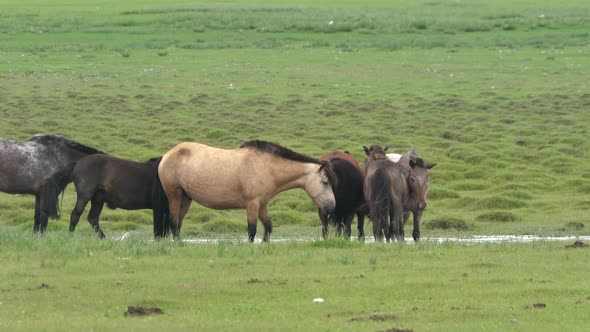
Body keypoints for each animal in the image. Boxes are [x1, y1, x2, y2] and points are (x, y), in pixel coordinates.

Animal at [153, 139, 338, 241]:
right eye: (325, 182)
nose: (331, 206)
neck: (267, 167)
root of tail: (168, 154)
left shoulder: (262, 205)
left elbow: (268, 227)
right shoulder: (252, 204)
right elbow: (252, 230)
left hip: (186, 198)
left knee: (177, 223)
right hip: (175, 196)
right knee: (174, 221)